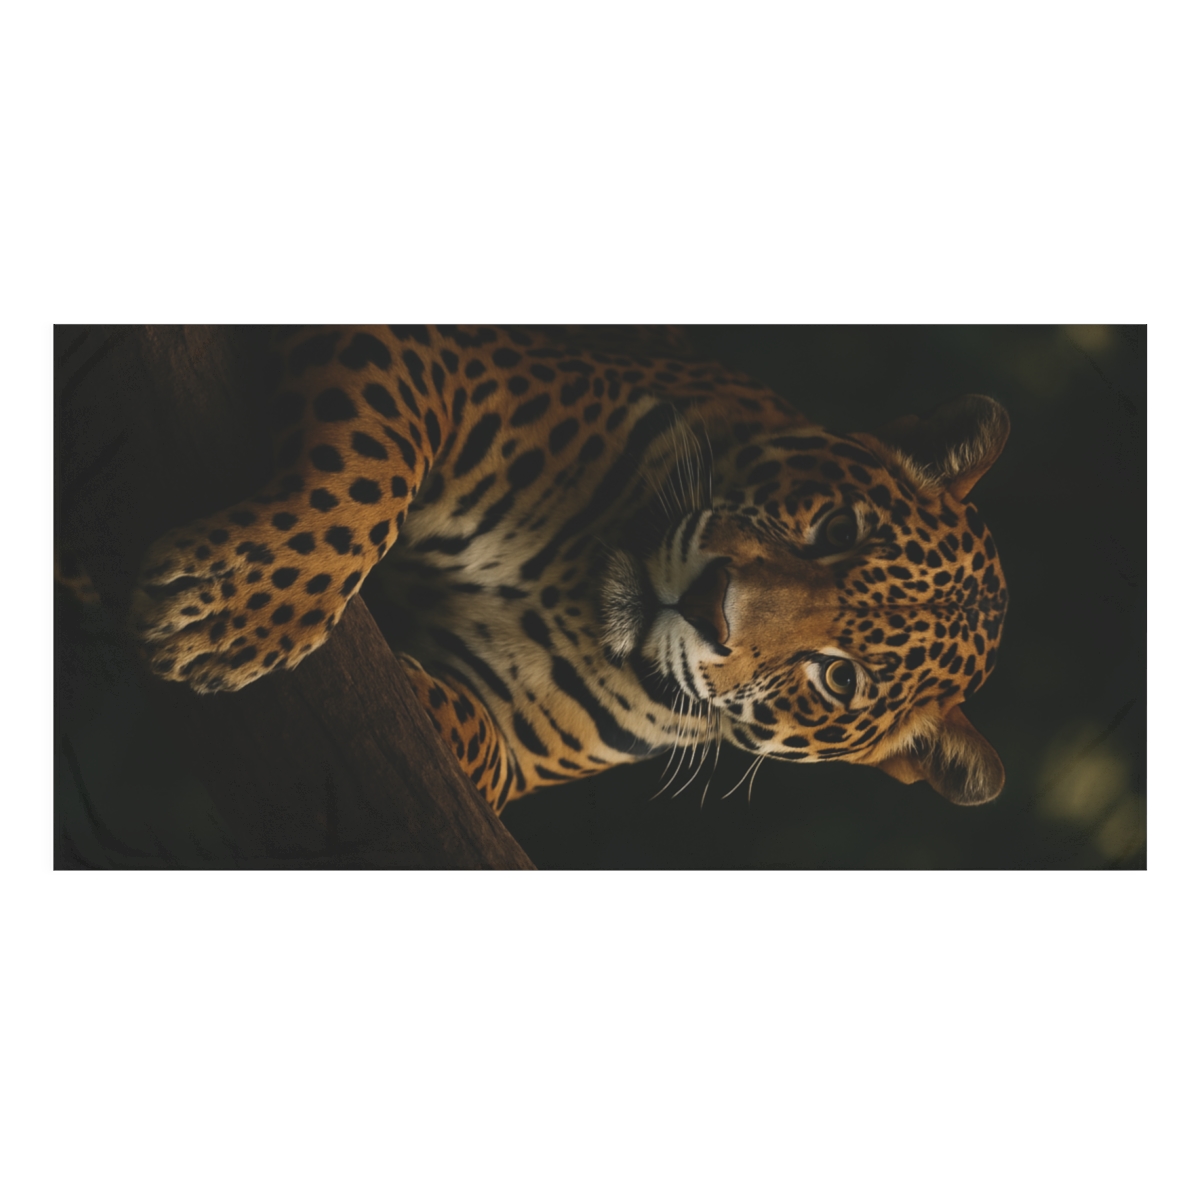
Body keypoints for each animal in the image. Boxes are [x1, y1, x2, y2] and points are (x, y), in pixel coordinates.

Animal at [130, 325, 1011, 814]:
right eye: (836, 528)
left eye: (839, 678)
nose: (708, 606)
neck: (580, 579)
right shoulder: (450, 359)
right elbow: (375, 465)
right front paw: (238, 607)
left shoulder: (515, 745)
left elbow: (473, 745)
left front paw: (406, 689)